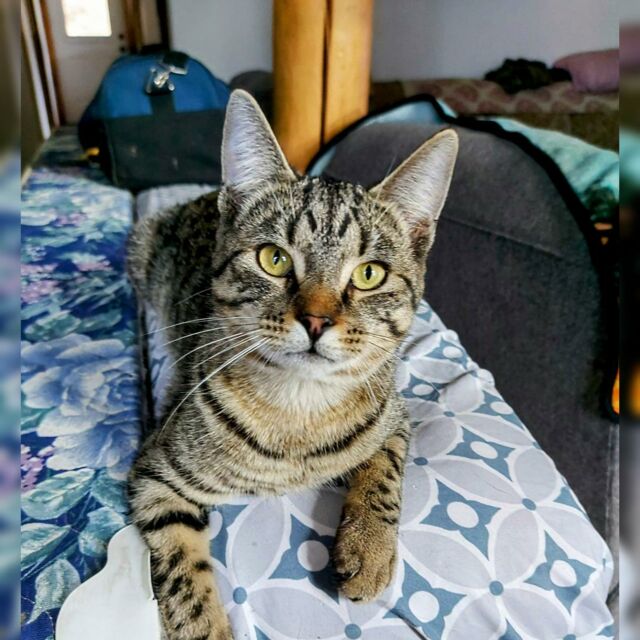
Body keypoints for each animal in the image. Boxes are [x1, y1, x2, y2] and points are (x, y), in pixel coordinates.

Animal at [127, 89, 458, 640]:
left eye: (369, 274)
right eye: (274, 259)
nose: (317, 319)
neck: (299, 410)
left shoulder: (395, 415)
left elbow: (386, 469)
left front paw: (369, 547)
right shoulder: (156, 476)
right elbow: (181, 572)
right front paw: (205, 626)